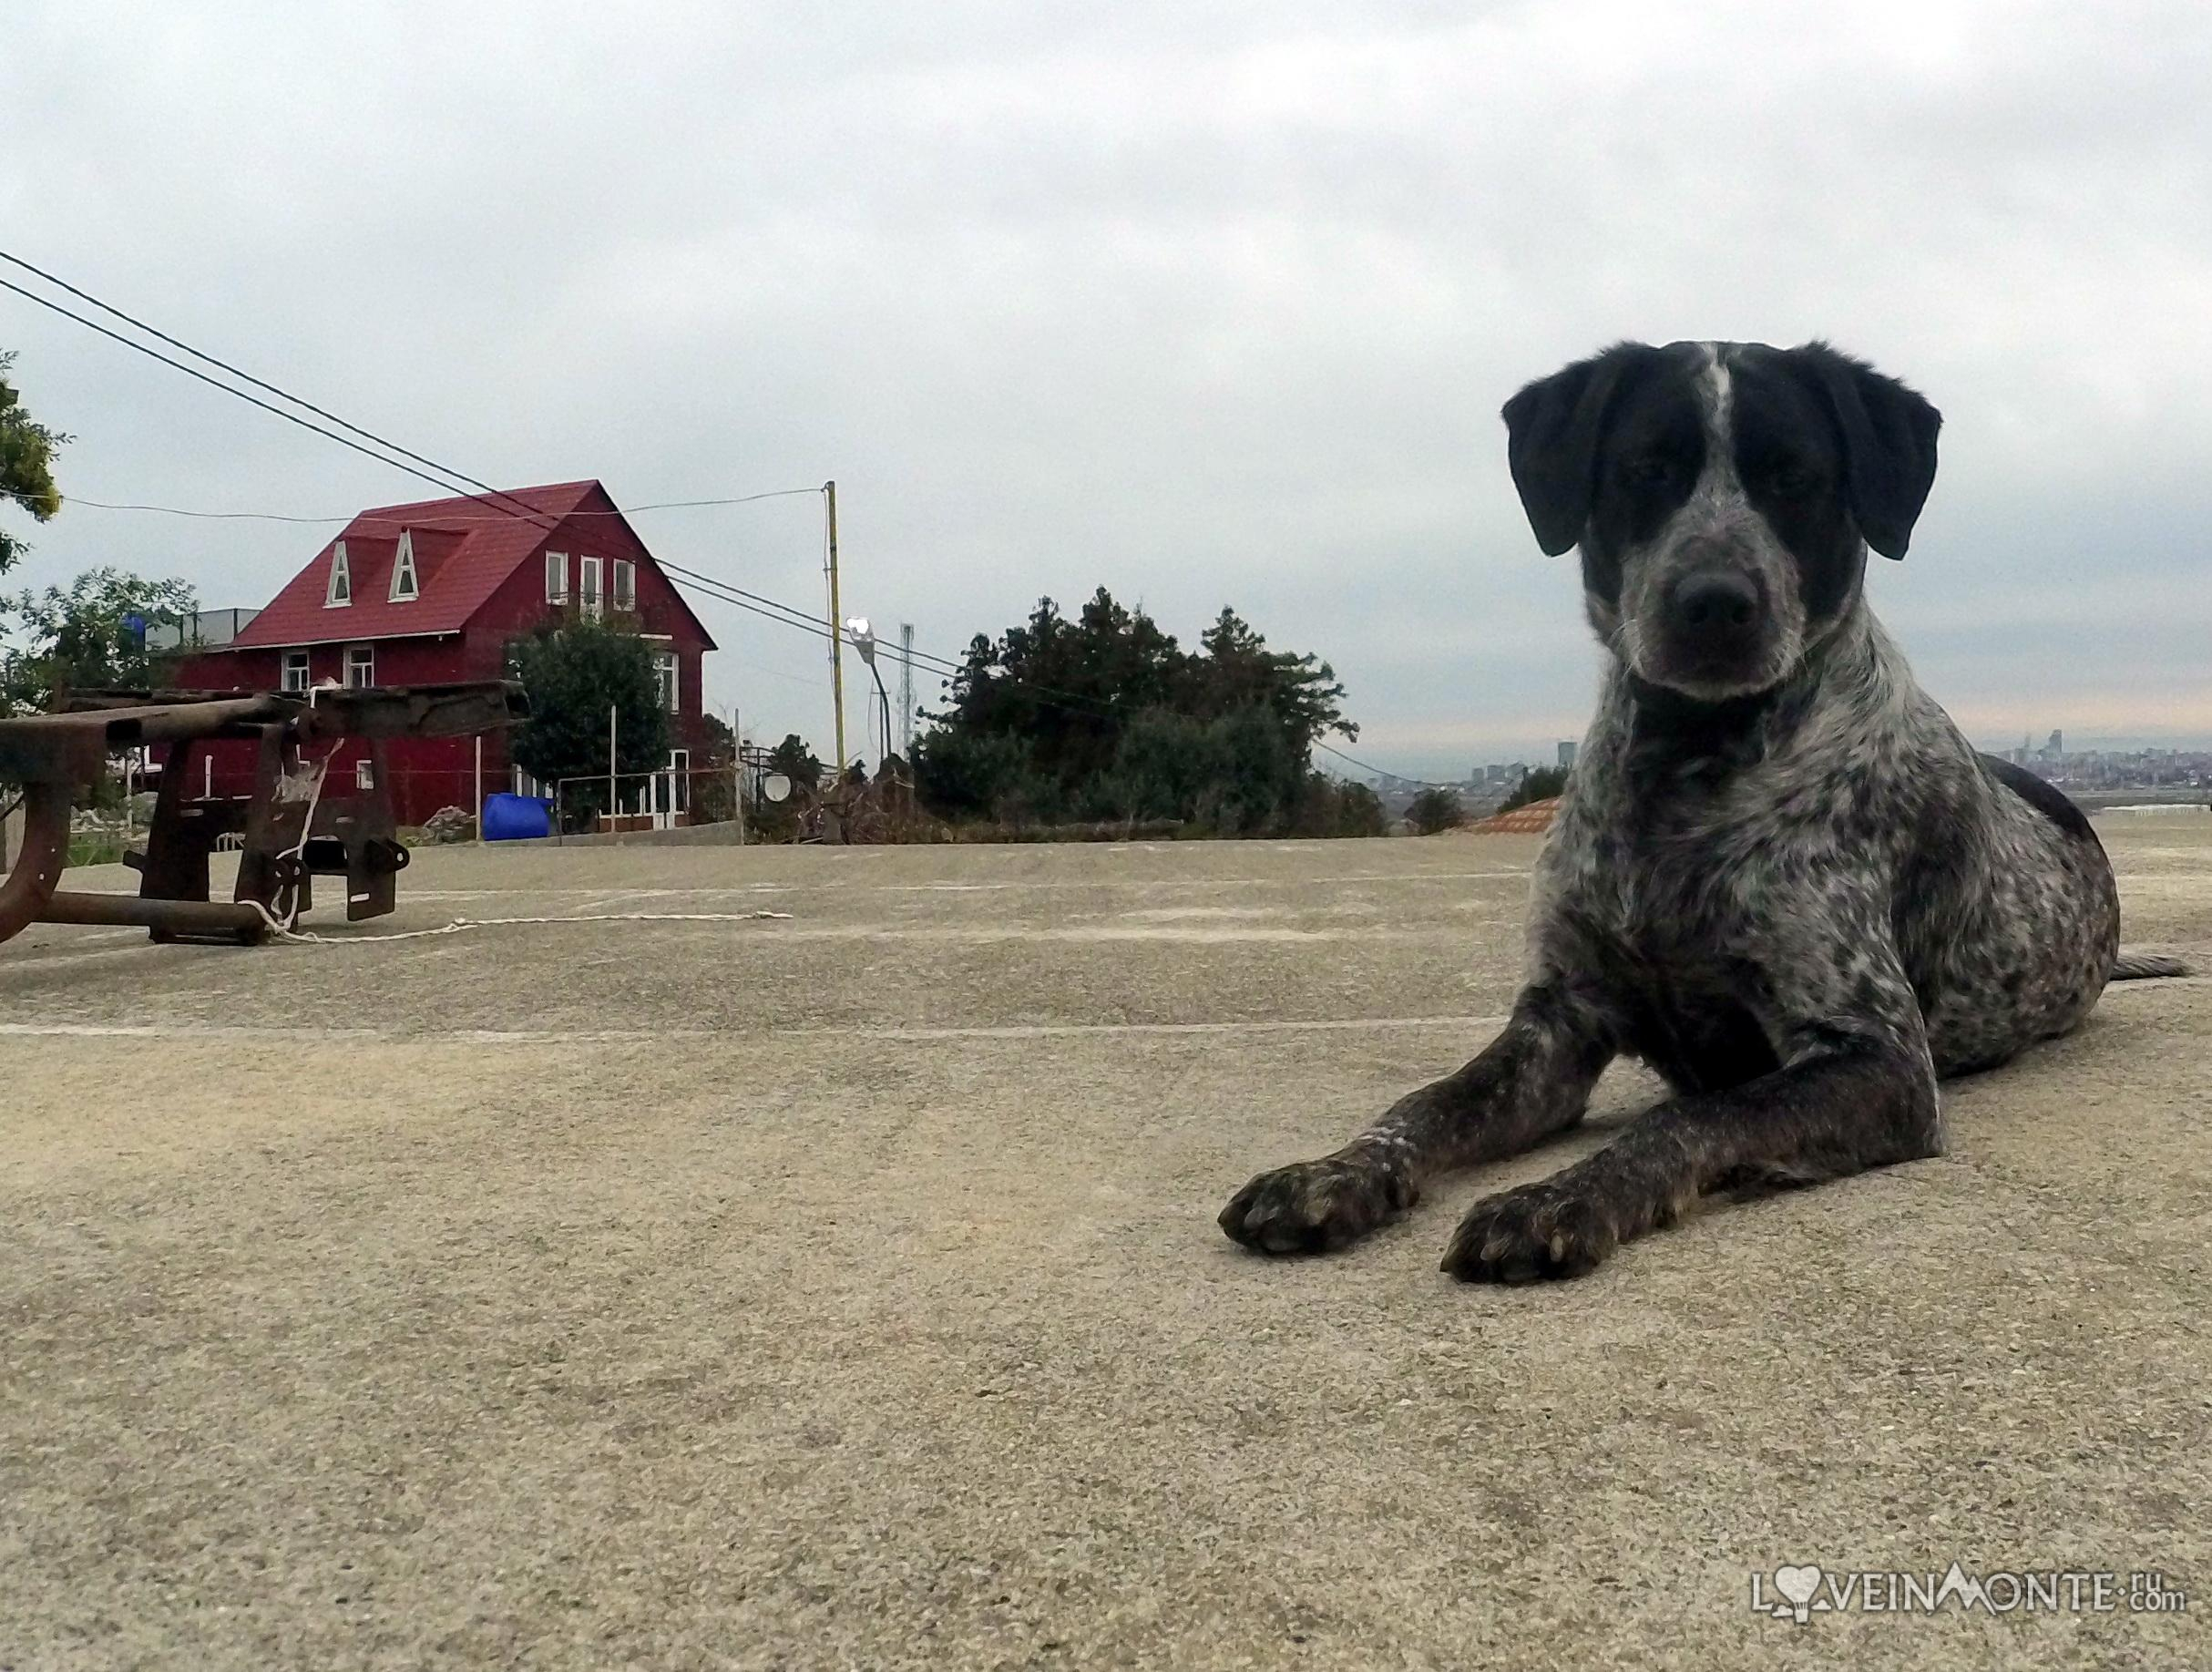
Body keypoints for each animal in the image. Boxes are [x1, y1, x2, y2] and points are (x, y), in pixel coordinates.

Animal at [1229, 335, 2194, 1282]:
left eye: (1795, 476)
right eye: (1646, 469)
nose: (1716, 601)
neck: (1684, 761)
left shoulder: (1875, 1056)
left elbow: (1691, 1116)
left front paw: (1557, 1200)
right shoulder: (1558, 1021)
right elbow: (1427, 1101)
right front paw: (1333, 1172)